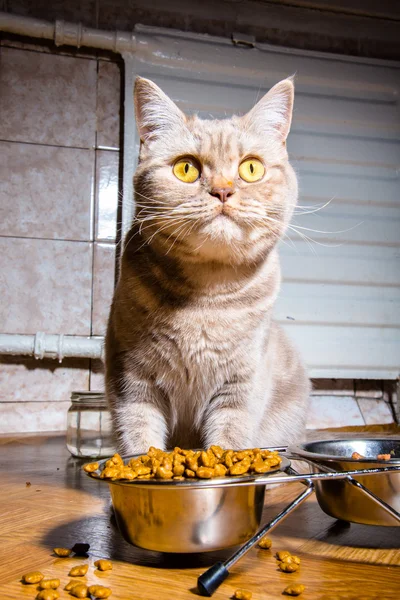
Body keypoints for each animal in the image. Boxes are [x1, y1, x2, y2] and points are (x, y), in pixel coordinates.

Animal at [105, 76, 310, 454]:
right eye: (186, 168)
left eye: (251, 168)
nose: (223, 191)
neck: (206, 296)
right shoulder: (131, 381)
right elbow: (138, 437)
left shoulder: (240, 388)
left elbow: (229, 438)